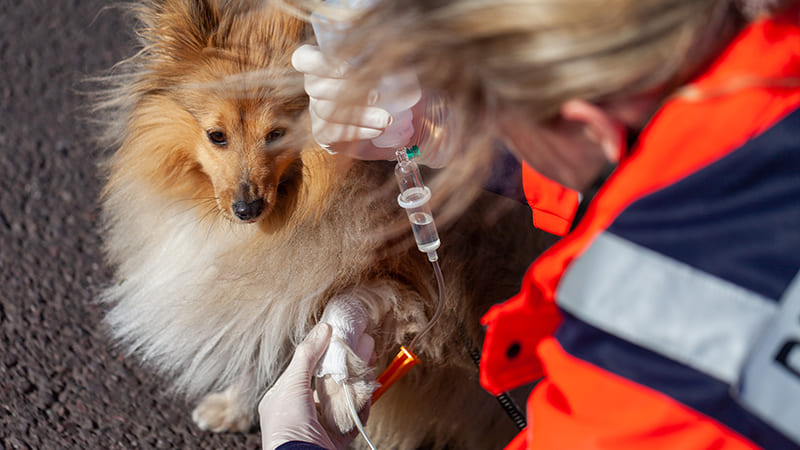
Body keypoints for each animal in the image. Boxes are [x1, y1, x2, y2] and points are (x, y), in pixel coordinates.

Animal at [94, 1, 544, 448]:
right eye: (216, 135)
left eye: (277, 134)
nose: (247, 208)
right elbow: (266, 337)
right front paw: (240, 406)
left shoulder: (420, 285)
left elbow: (337, 308)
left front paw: (337, 392)